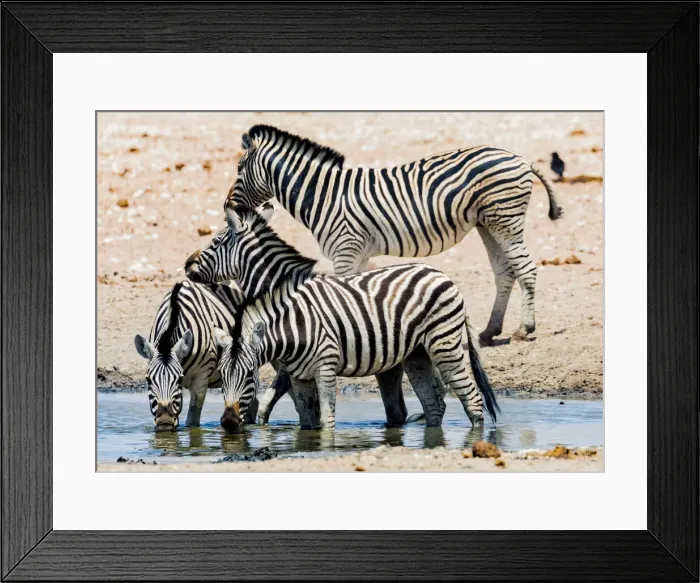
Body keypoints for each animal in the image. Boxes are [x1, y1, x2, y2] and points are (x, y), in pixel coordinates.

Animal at [186, 205, 499, 432]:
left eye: (216, 241)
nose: (187, 265)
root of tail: (443, 275)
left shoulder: (289, 367)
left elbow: (268, 406)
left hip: (440, 345)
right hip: (413, 354)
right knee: (430, 401)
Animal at [225, 125, 563, 345]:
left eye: (239, 168)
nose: (228, 206)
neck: (323, 195)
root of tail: (520, 157)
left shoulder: (345, 249)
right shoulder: (358, 255)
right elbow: (355, 295)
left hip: (505, 219)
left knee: (526, 269)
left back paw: (525, 329)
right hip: (488, 223)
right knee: (505, 271)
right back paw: (490, 332)